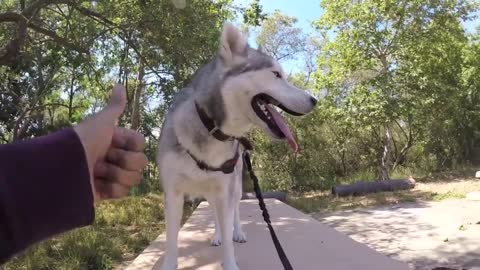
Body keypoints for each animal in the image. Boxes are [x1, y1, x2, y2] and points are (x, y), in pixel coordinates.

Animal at [156, 23, 316, 270]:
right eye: (276, 74)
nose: (314, 100)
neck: (211, 129)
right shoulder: (173, 194)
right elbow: (171, 243)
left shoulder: (225, 190)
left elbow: (229, 227)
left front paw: (230, 259)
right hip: (211, 193)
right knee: (215, 214)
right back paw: (217, 235)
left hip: (235, 186)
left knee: (235, 213)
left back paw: (237, 232)